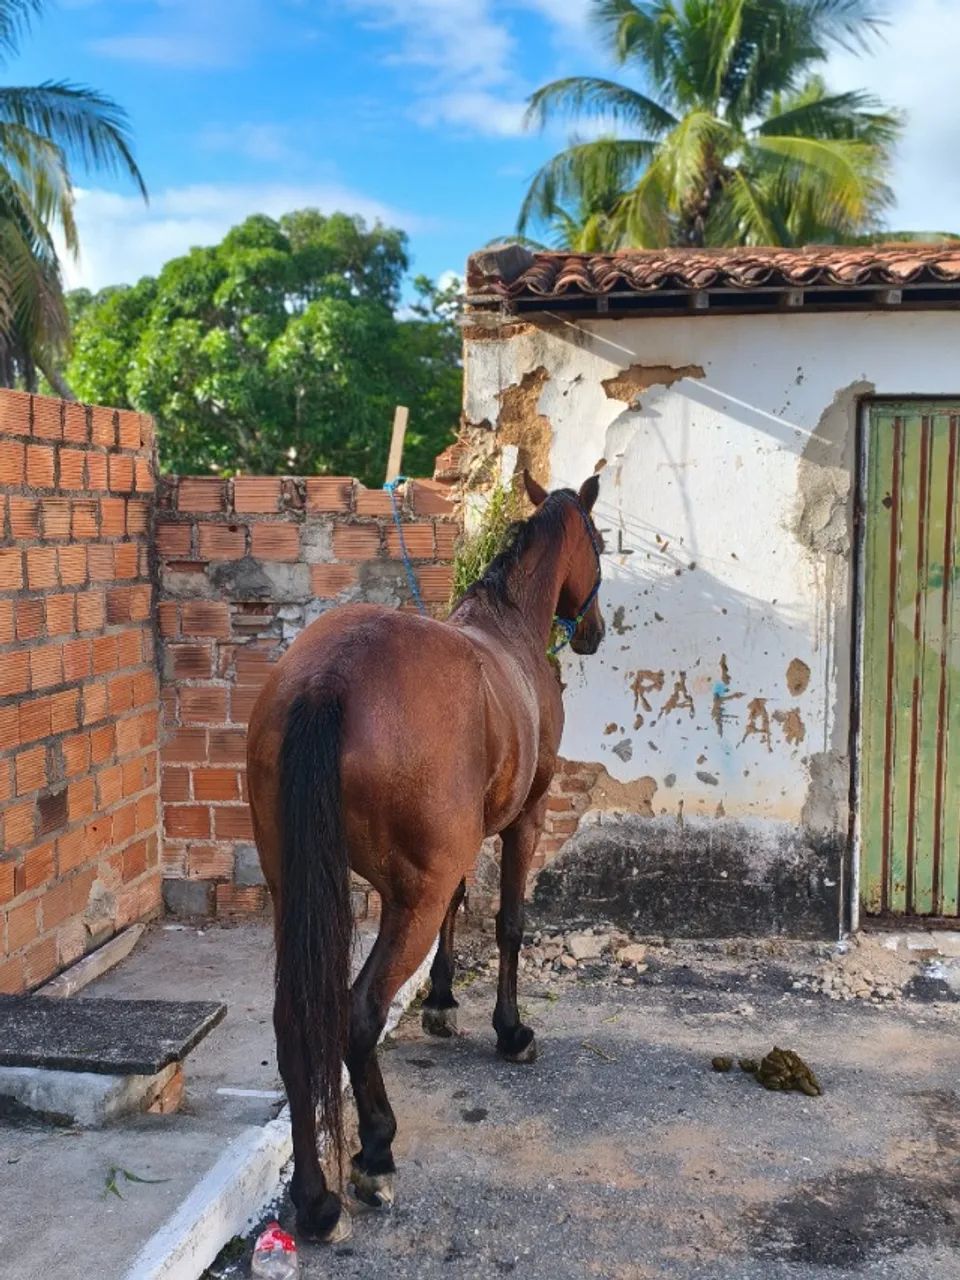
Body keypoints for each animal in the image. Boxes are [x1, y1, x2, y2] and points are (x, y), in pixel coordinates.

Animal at [246, 470, 605, 1244]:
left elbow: (462, 908)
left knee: (297, 1023)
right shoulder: (524, 821)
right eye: (599, 540)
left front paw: (440, 1002)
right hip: (409, 895)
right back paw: (375, 1153)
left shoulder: (451, 855)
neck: (508, 627)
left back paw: (315, 1200)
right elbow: (507, 923)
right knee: (358, 1014)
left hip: (300, 889)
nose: (595, 631)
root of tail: (328, 679)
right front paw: (511, 1030)